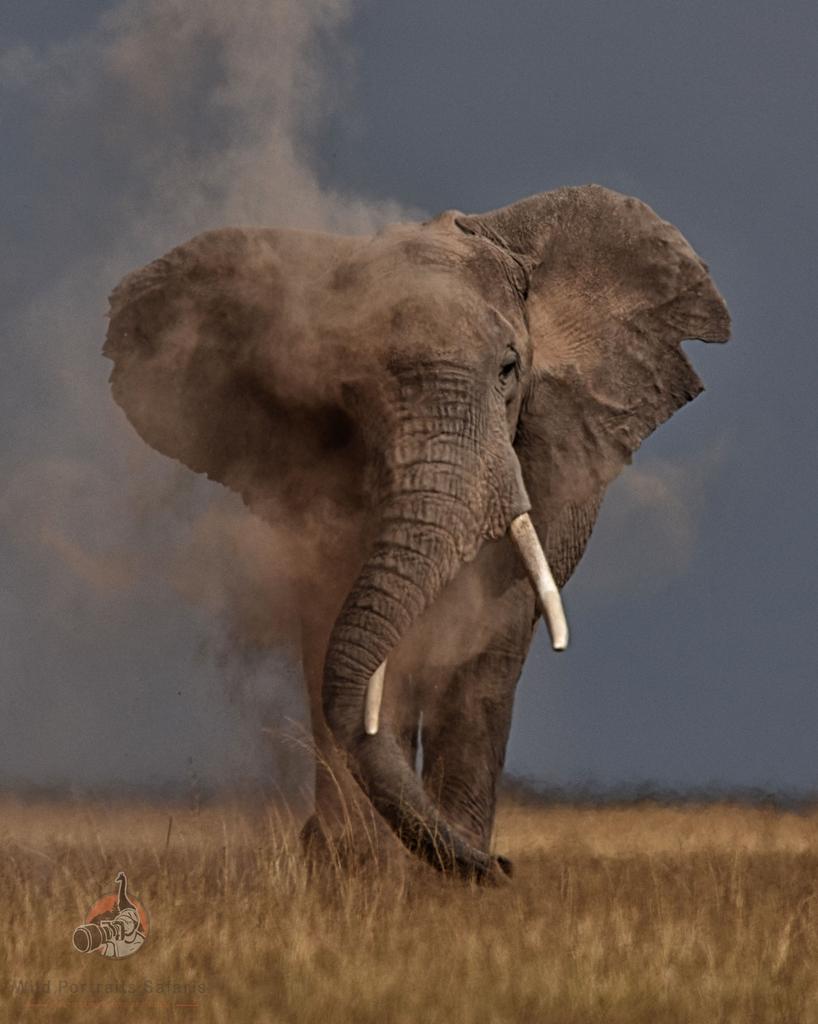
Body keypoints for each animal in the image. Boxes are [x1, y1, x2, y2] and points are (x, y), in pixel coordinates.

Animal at [102, 184, 728, 880]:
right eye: (346, 386)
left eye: (509, 368)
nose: (505, 866)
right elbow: (337, 621)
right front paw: (357, 869)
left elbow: (491, 634)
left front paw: (446, 873)